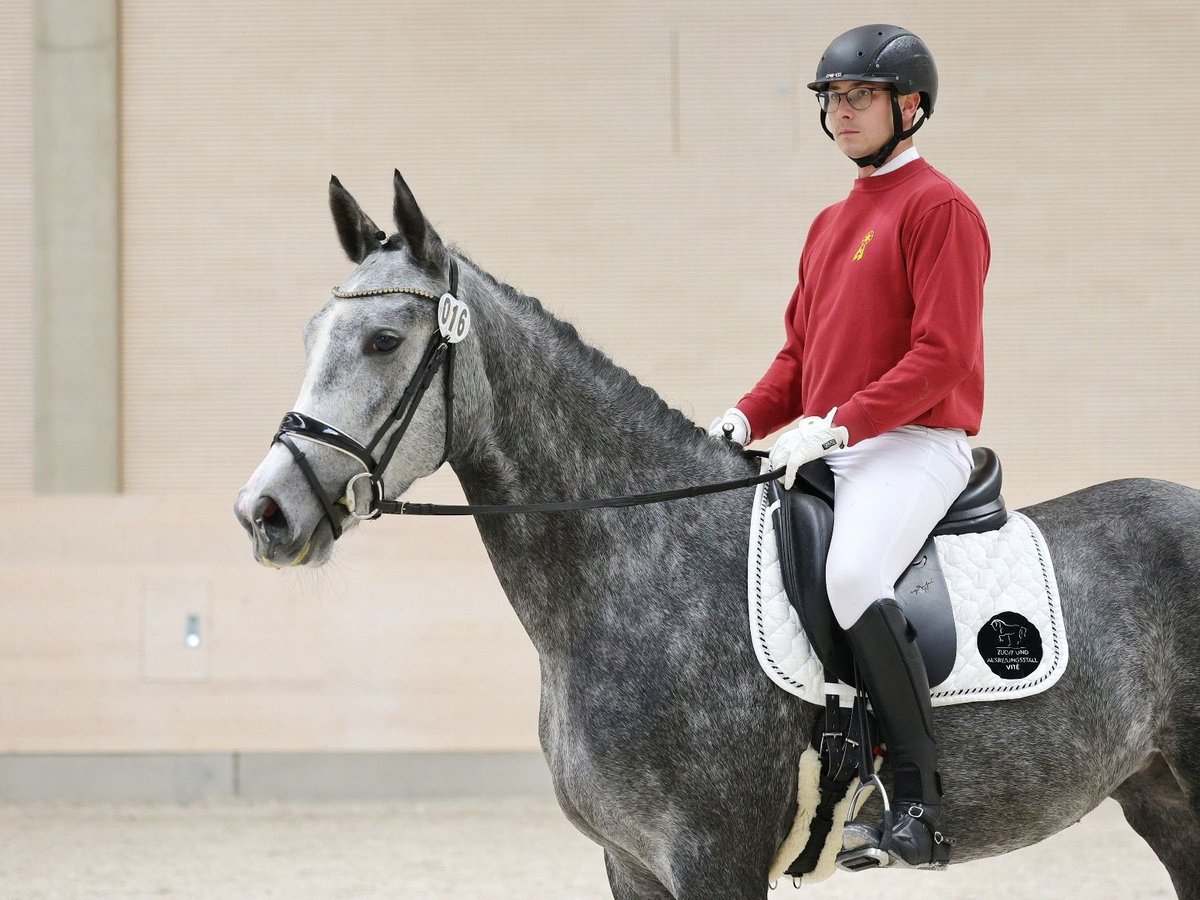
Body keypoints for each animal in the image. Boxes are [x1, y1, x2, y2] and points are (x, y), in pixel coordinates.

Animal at [235, 170, 1200, 899]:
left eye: (383, 340)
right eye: (314, 334)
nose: (264, 512)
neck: (638, 571)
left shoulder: (712, 861)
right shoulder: (631, 863)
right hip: (1162, 799)